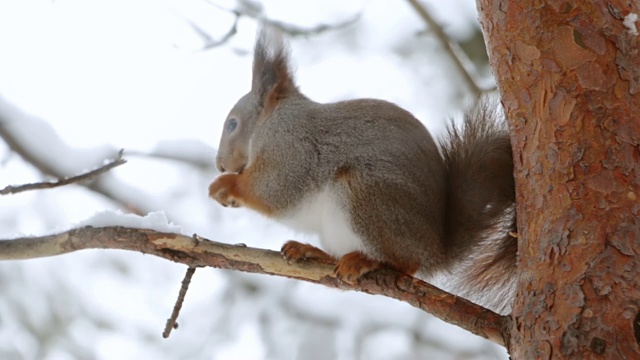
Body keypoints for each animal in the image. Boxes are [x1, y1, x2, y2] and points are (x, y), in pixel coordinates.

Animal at [208, 28, 516, 316]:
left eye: (232, 125)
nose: (220, 165)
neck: (271, 120)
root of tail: (434, 250)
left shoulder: (291, 147)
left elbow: (275, 189)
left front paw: (226, 185)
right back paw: (314, 252)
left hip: (365, 196)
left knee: (405, 263)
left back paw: (365, 261)